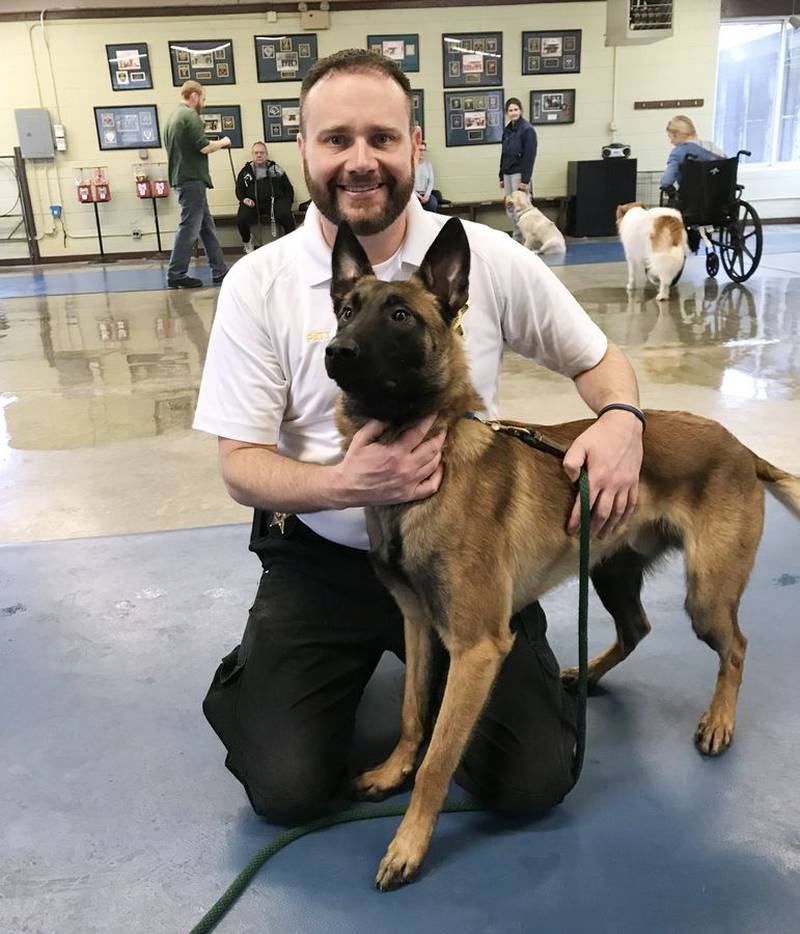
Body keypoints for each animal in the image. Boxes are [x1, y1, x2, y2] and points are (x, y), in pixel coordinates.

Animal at [322, 218, 796, 892]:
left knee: (736, 648)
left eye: (399, 316)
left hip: (706, 594)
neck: (428, 456)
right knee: (637, 627)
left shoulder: (476, 649)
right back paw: (586, 676)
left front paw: (409, 842)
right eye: (345, 310)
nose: (336, 353)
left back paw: (719, 720)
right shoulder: (418, 624)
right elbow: (415, 714)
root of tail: (739, 445)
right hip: (609, 570)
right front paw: (392, 771)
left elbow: (440, 757)